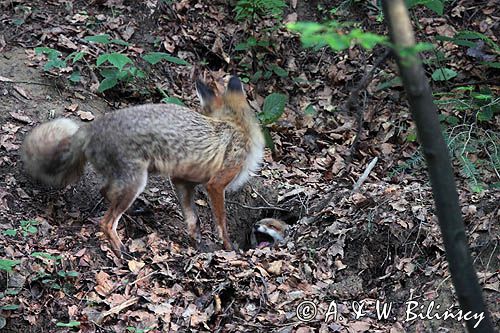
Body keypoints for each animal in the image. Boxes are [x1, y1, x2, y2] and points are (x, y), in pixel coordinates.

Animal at [21, 76, 266, 255]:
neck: (236, 126)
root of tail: (89, 128)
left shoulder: (182, 181)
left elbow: (192, 219)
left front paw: (197, 244)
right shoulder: (216, 184)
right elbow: (221, 223)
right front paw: (229, 249)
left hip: (126, 181)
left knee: (104, 192)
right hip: (136, 181)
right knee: (106, 222)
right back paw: (121, 250)